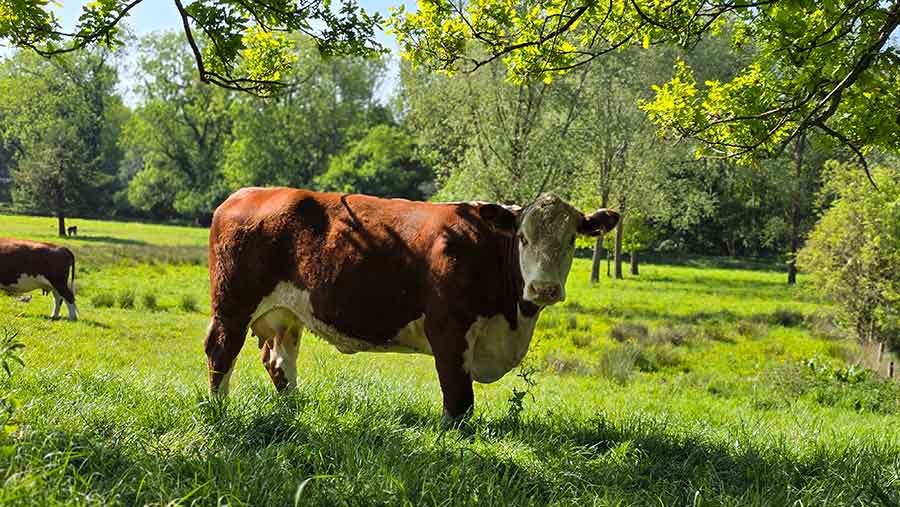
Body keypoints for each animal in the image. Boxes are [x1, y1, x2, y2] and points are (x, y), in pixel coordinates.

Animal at [204, 188, 618, 422]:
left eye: (571, 239)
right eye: (523, 238)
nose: (544, 288)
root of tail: (245, 194)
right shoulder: (448, 329)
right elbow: (459, 399)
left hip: (287, 313)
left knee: (279, 359)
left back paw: (294, 406)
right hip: (232, 305)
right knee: (220, 350)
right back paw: (219, 410)